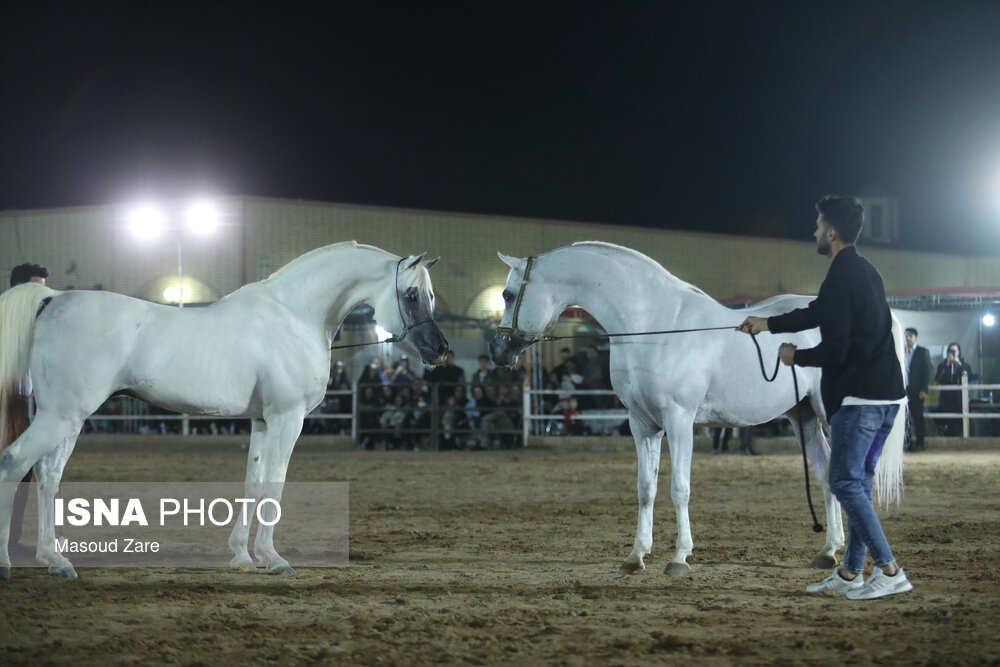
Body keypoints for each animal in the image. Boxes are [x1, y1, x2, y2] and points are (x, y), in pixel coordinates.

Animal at [0, 240, 448, 580]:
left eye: (430, 295)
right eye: (411, 295)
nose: (440, 351)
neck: (293, 316)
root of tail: (53, 298)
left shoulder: (263, 421)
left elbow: (253, 484)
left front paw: (243, 556)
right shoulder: (287, 418)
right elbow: (274, 486)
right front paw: (274, 559)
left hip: (68, 418)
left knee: (47, 476)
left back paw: (56, 561)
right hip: (61, 416)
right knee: (15, 462)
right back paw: (8, 564)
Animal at [486, 243, 908, 576]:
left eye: (507, 295)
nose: (497, 350)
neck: (653, 328)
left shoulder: (679, 420)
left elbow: (679, 488)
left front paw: (679, 558)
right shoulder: (641, 424)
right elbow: (646, 488)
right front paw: (636, 556)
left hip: (831, 414)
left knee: (852, 477)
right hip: (803, 417)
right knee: (825, 476)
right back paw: (828, 552)